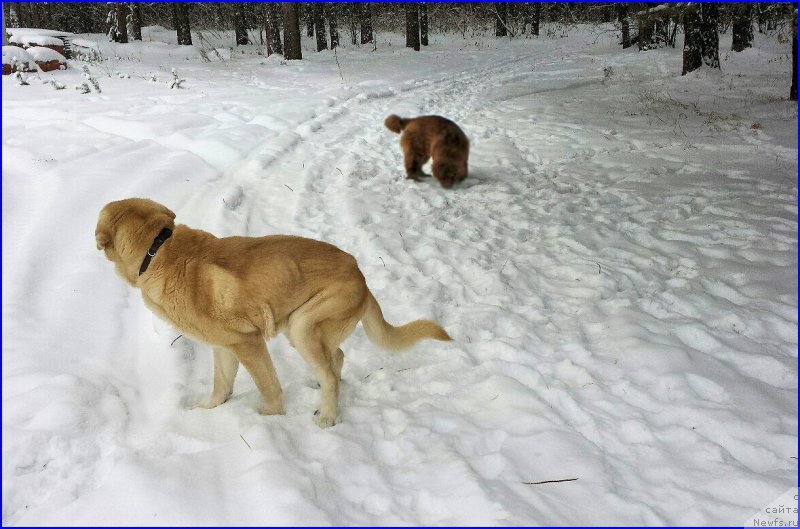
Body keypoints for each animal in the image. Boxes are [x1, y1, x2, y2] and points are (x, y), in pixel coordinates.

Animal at [95, 197, 450, 424]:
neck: (158, 250)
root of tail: (360, 275)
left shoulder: (248, 342)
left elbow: (268, 386)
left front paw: (270, 416)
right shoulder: (226, 347)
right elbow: (221, 384)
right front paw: (211, 409)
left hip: (302, 326)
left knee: (331, 371)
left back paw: (328, 415)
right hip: (304, 329)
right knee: (336, 358)